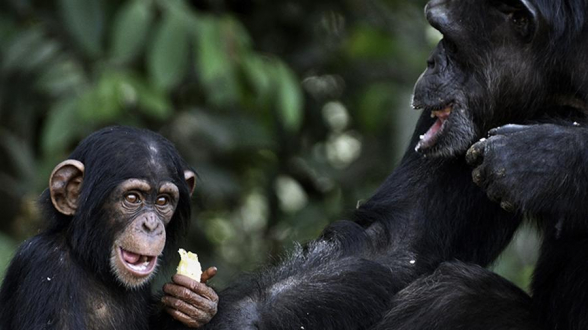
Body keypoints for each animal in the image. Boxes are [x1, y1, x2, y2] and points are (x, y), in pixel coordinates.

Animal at [0, 126, 219, 330]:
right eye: (132, 198)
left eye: (162, 201)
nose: (151, 224)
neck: (91, 264)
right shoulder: (44, 265)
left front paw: (196, 302)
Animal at [200, 0, 584, 328]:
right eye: (440, 32)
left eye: (451, 42)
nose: (431, 60)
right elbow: (404, 239)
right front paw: (236, 318)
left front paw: (540, 157)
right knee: (454, 295)